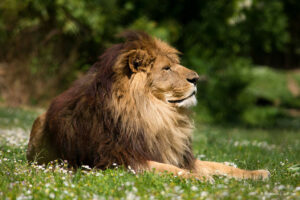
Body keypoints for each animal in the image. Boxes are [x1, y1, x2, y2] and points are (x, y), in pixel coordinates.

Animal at [26, 30, 270, 181]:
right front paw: (201, 178)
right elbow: (171, 169)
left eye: (175, 65)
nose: (196, 78)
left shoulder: (179, 155)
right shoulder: (120, 159)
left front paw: (257, 173)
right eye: (166, 68)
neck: (157, 115)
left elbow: (221, 165)